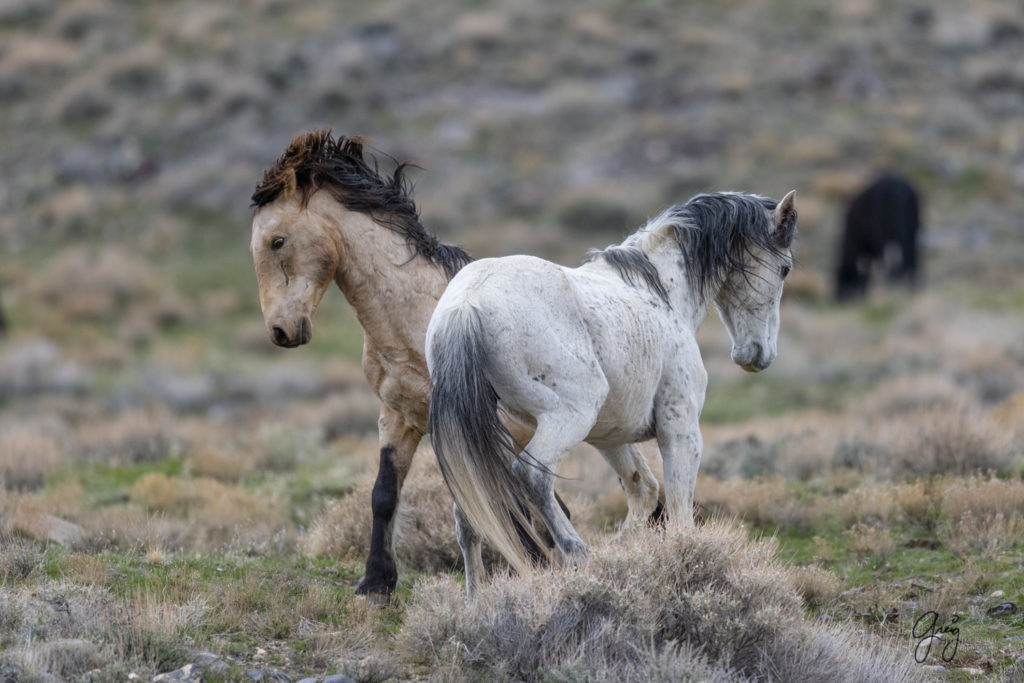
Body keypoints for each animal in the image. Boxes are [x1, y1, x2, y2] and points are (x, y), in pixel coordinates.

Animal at [423, 189, 798, 593]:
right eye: (785, 269)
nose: (758, 354)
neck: (661, 293)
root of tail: (466, 304)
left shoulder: (610, 438)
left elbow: (643, 490)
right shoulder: (680, 430)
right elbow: (680, 512)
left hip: (486, 434)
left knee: (471, 508)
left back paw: (476, 599)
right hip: (570, 415)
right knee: (531, 475)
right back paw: (576, 551)